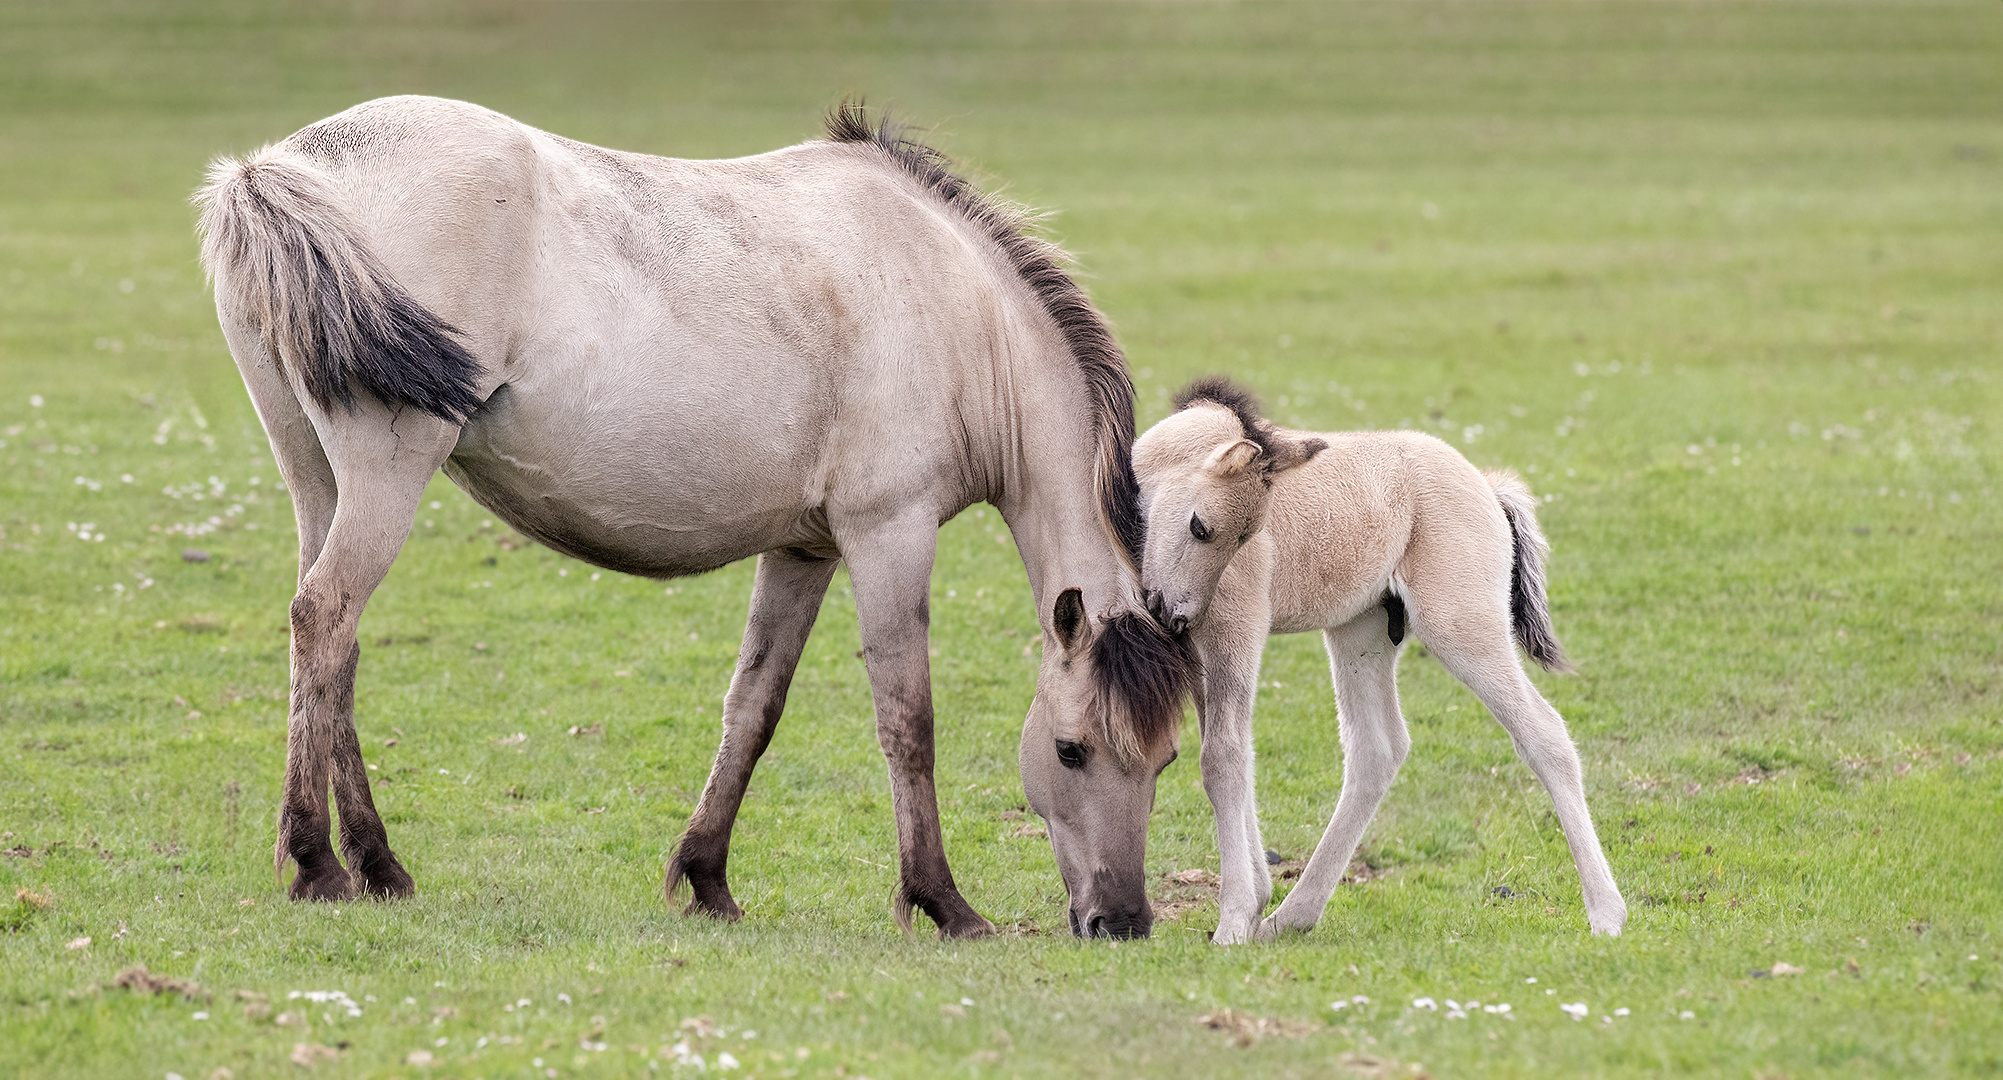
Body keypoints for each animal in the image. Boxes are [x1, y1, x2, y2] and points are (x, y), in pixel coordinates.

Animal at [195, 99, 1193, 937]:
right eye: (1070, 752)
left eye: (1165, 762)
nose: (1121, 922)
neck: (954, 302)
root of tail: (281, 166)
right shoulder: (889, 534)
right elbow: (907, 719)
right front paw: (941, 902)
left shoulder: (803, 549)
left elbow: (753, 707)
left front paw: (707, 877)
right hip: (386, 478)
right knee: (326, 617)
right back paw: (321, 863)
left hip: (318, 484)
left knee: (333, 645)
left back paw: (376, 863)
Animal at [1137, 382, 1618, 945]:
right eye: (1199, 526)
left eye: (1220, 532)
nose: (1171, 612)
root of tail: (1487, 487)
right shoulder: (1200, 651)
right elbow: (1234, 749)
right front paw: (1254, 904)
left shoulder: (1234, 629)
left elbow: (1223, 756)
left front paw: (1235, 920)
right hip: (1360, 632)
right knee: (1378, 748)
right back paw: (1291, 916)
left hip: (1459, 625)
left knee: (1543, 732)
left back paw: (1607, 913)